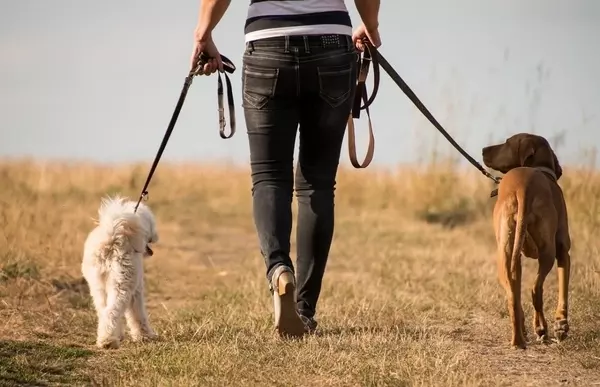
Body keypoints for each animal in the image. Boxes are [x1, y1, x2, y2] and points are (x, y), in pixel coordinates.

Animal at [83, 196, 162, 350]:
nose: (156, 236)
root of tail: (112, 238)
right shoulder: (136, 291)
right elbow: (138, 315)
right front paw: (145, 335)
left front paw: (120, 334)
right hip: (121, 285)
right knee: (111, 312)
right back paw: (108, 341)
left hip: (97, 287)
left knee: (103, 311)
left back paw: (107, 337)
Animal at [480, 133, 568, 348]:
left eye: (507, 142)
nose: (483, 149)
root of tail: (523, 187)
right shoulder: (563, 250)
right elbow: (563, 290)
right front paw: (561, 325)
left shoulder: (516, 256)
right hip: (547, 252)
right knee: (536, 290)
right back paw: (541, 330)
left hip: (505, 255)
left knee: (513, 295)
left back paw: (519, 339)